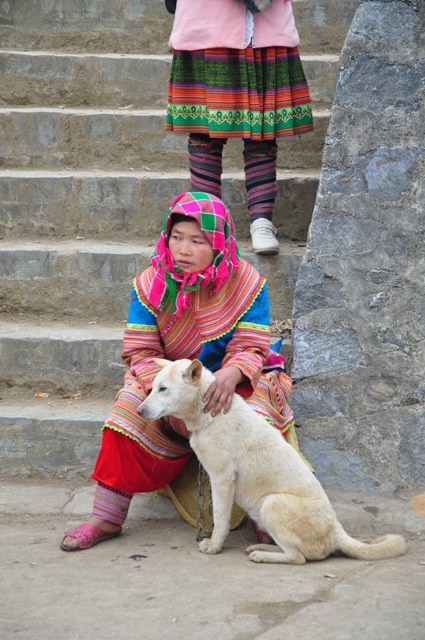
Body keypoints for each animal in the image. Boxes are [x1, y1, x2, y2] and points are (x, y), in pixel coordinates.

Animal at [138, 360, 404, 564]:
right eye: (153, 388)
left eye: (163, 389)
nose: (140, 411)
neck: (208, 414)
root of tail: (337, 532)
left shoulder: (222, 479)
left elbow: (220, 519)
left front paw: (214, 545)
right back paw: (264, 548)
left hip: (272, 503)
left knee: (299, 558)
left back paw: (264, 556)